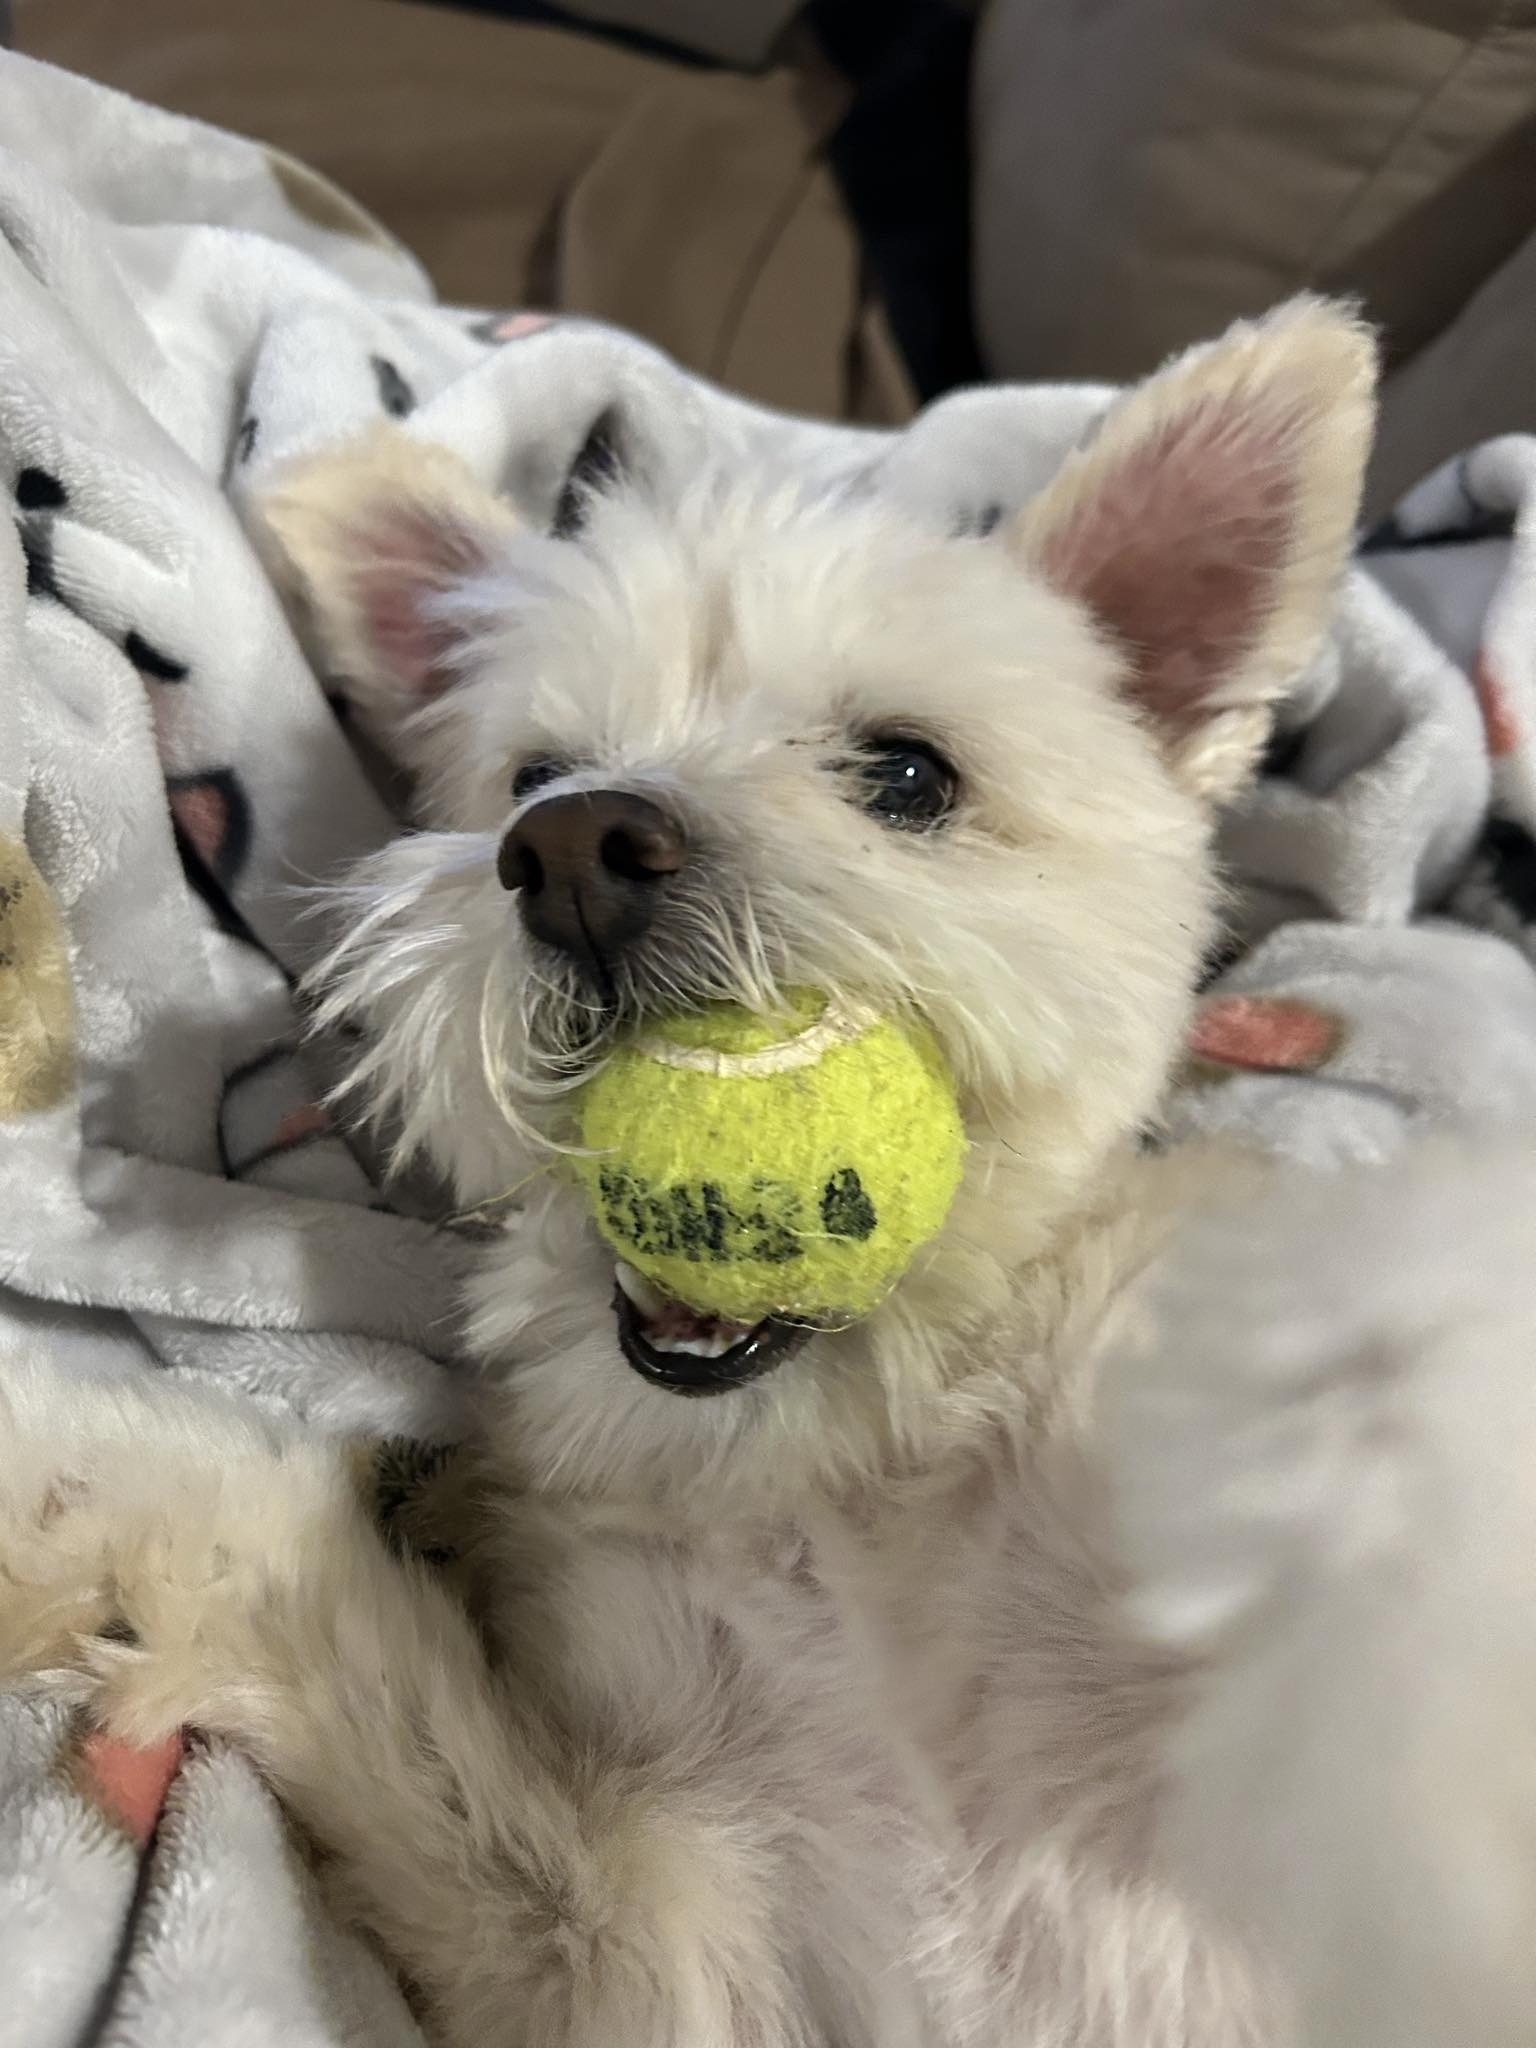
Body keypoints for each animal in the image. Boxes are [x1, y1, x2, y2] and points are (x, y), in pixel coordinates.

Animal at [9, 303, 1531, 2048]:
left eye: (911, 777)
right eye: (531, 775)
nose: (572, 851)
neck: (851, 1469)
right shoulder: (651, 1952)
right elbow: (281, 1567)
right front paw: (60, 1468)